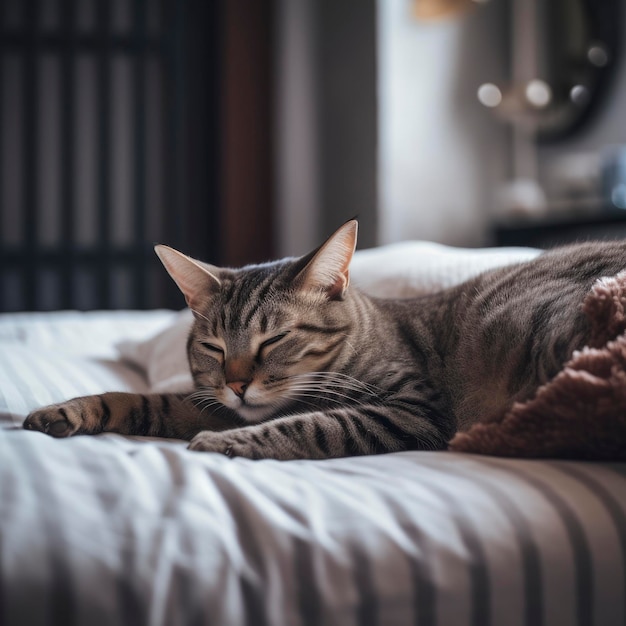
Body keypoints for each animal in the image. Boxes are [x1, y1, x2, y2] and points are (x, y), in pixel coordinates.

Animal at [22, 219, 624, 458]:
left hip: (544, 330)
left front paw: (225, 443)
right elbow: (140, 399)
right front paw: (69, 410)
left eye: (273, 341)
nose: (237, 385)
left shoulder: (411, 409)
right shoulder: (206, 401)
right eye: (214, 348)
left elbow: (315, 426)